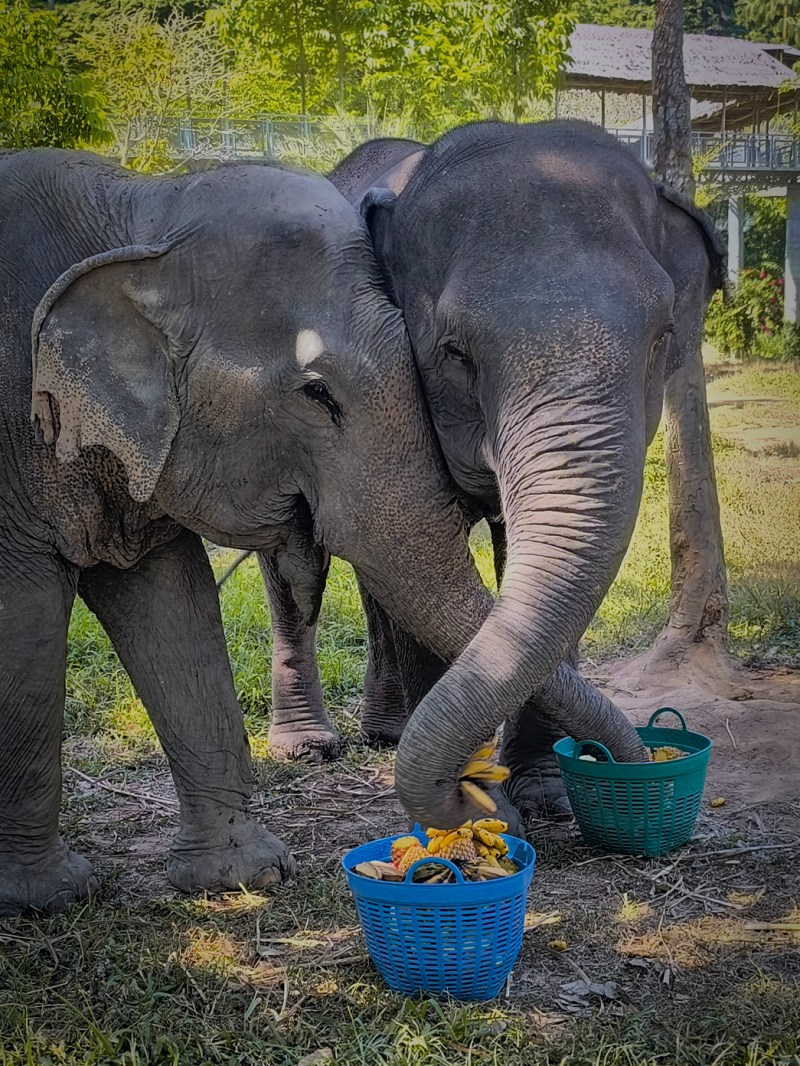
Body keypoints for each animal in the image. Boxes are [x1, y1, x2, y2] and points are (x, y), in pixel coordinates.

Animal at [0, 148, 508, 915]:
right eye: (317, 394)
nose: (468, 796)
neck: (141, 211)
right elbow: (24, 621)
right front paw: (44, 898)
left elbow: (175, 610)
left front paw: (244, 877)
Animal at [257, 120, 725, 830]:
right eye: (454, 353)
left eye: (663, 336)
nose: (636, 761)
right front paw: (474, 808)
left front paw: (545, 794)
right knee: (297, 570)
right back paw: (309, 747)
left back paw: (388, 732)